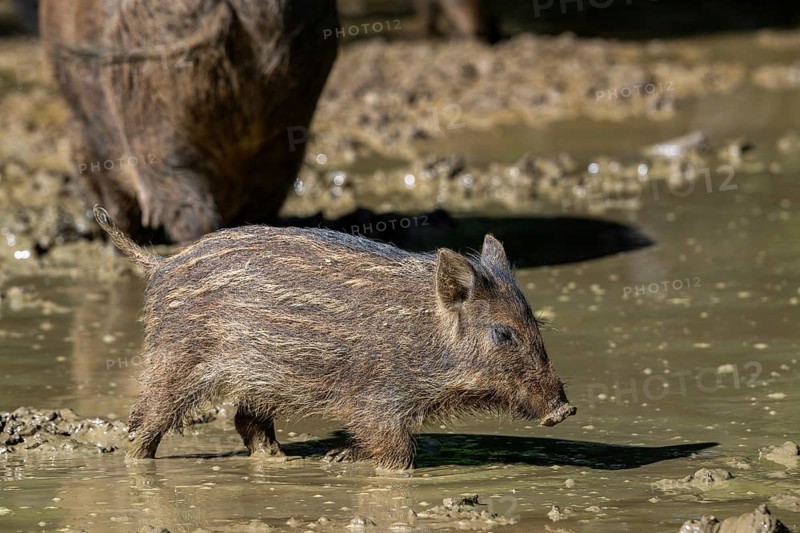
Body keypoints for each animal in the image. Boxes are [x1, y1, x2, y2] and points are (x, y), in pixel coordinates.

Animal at [93, 206, 576, 469]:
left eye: (535, 326)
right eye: (502, 332)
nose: (565, 409)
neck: (425, 336)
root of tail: (161, 264)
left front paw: (335, 458)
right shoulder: (378, 401)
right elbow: (396, 454)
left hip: (258, 380)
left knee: (246, 422)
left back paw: (283, 461)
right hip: (175, 360)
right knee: (144, 422)